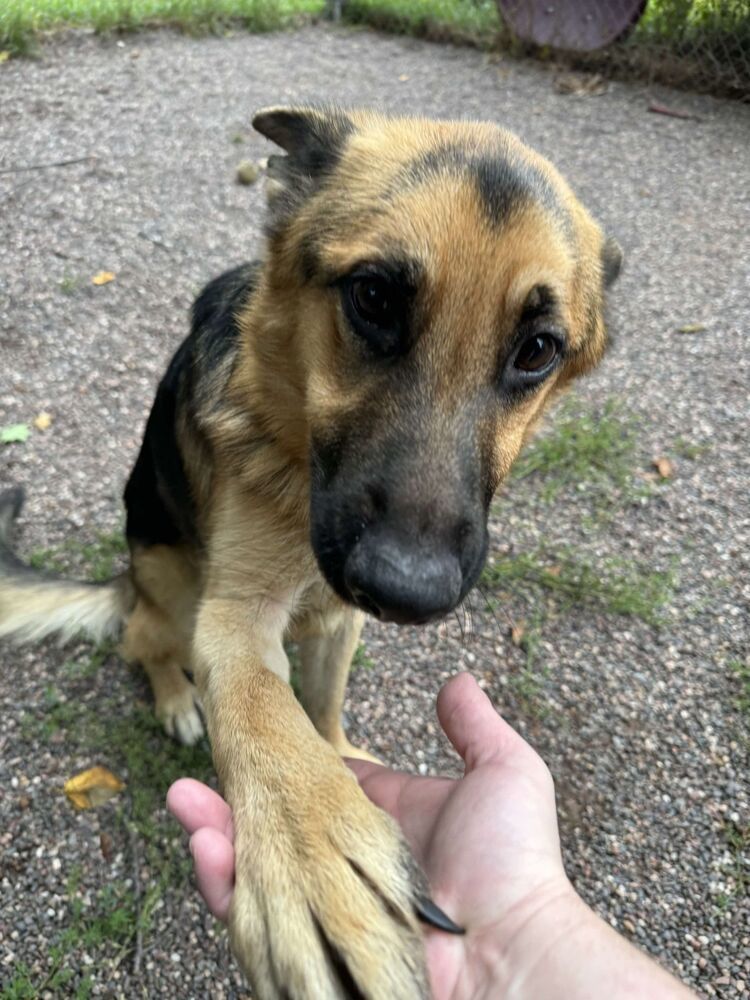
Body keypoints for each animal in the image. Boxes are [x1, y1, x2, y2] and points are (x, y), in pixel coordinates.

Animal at [0, 105, 624, 996]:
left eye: (537, 349)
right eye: (373, 297)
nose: (405, 589)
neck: (295, 457)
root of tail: (123, 584)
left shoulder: (338, 623)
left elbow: (320, 708)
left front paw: (335, 761)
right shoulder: (235, 617)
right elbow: (262, 711)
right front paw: (313, 853)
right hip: (166, 589)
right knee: (142, 643)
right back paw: (175, 698)